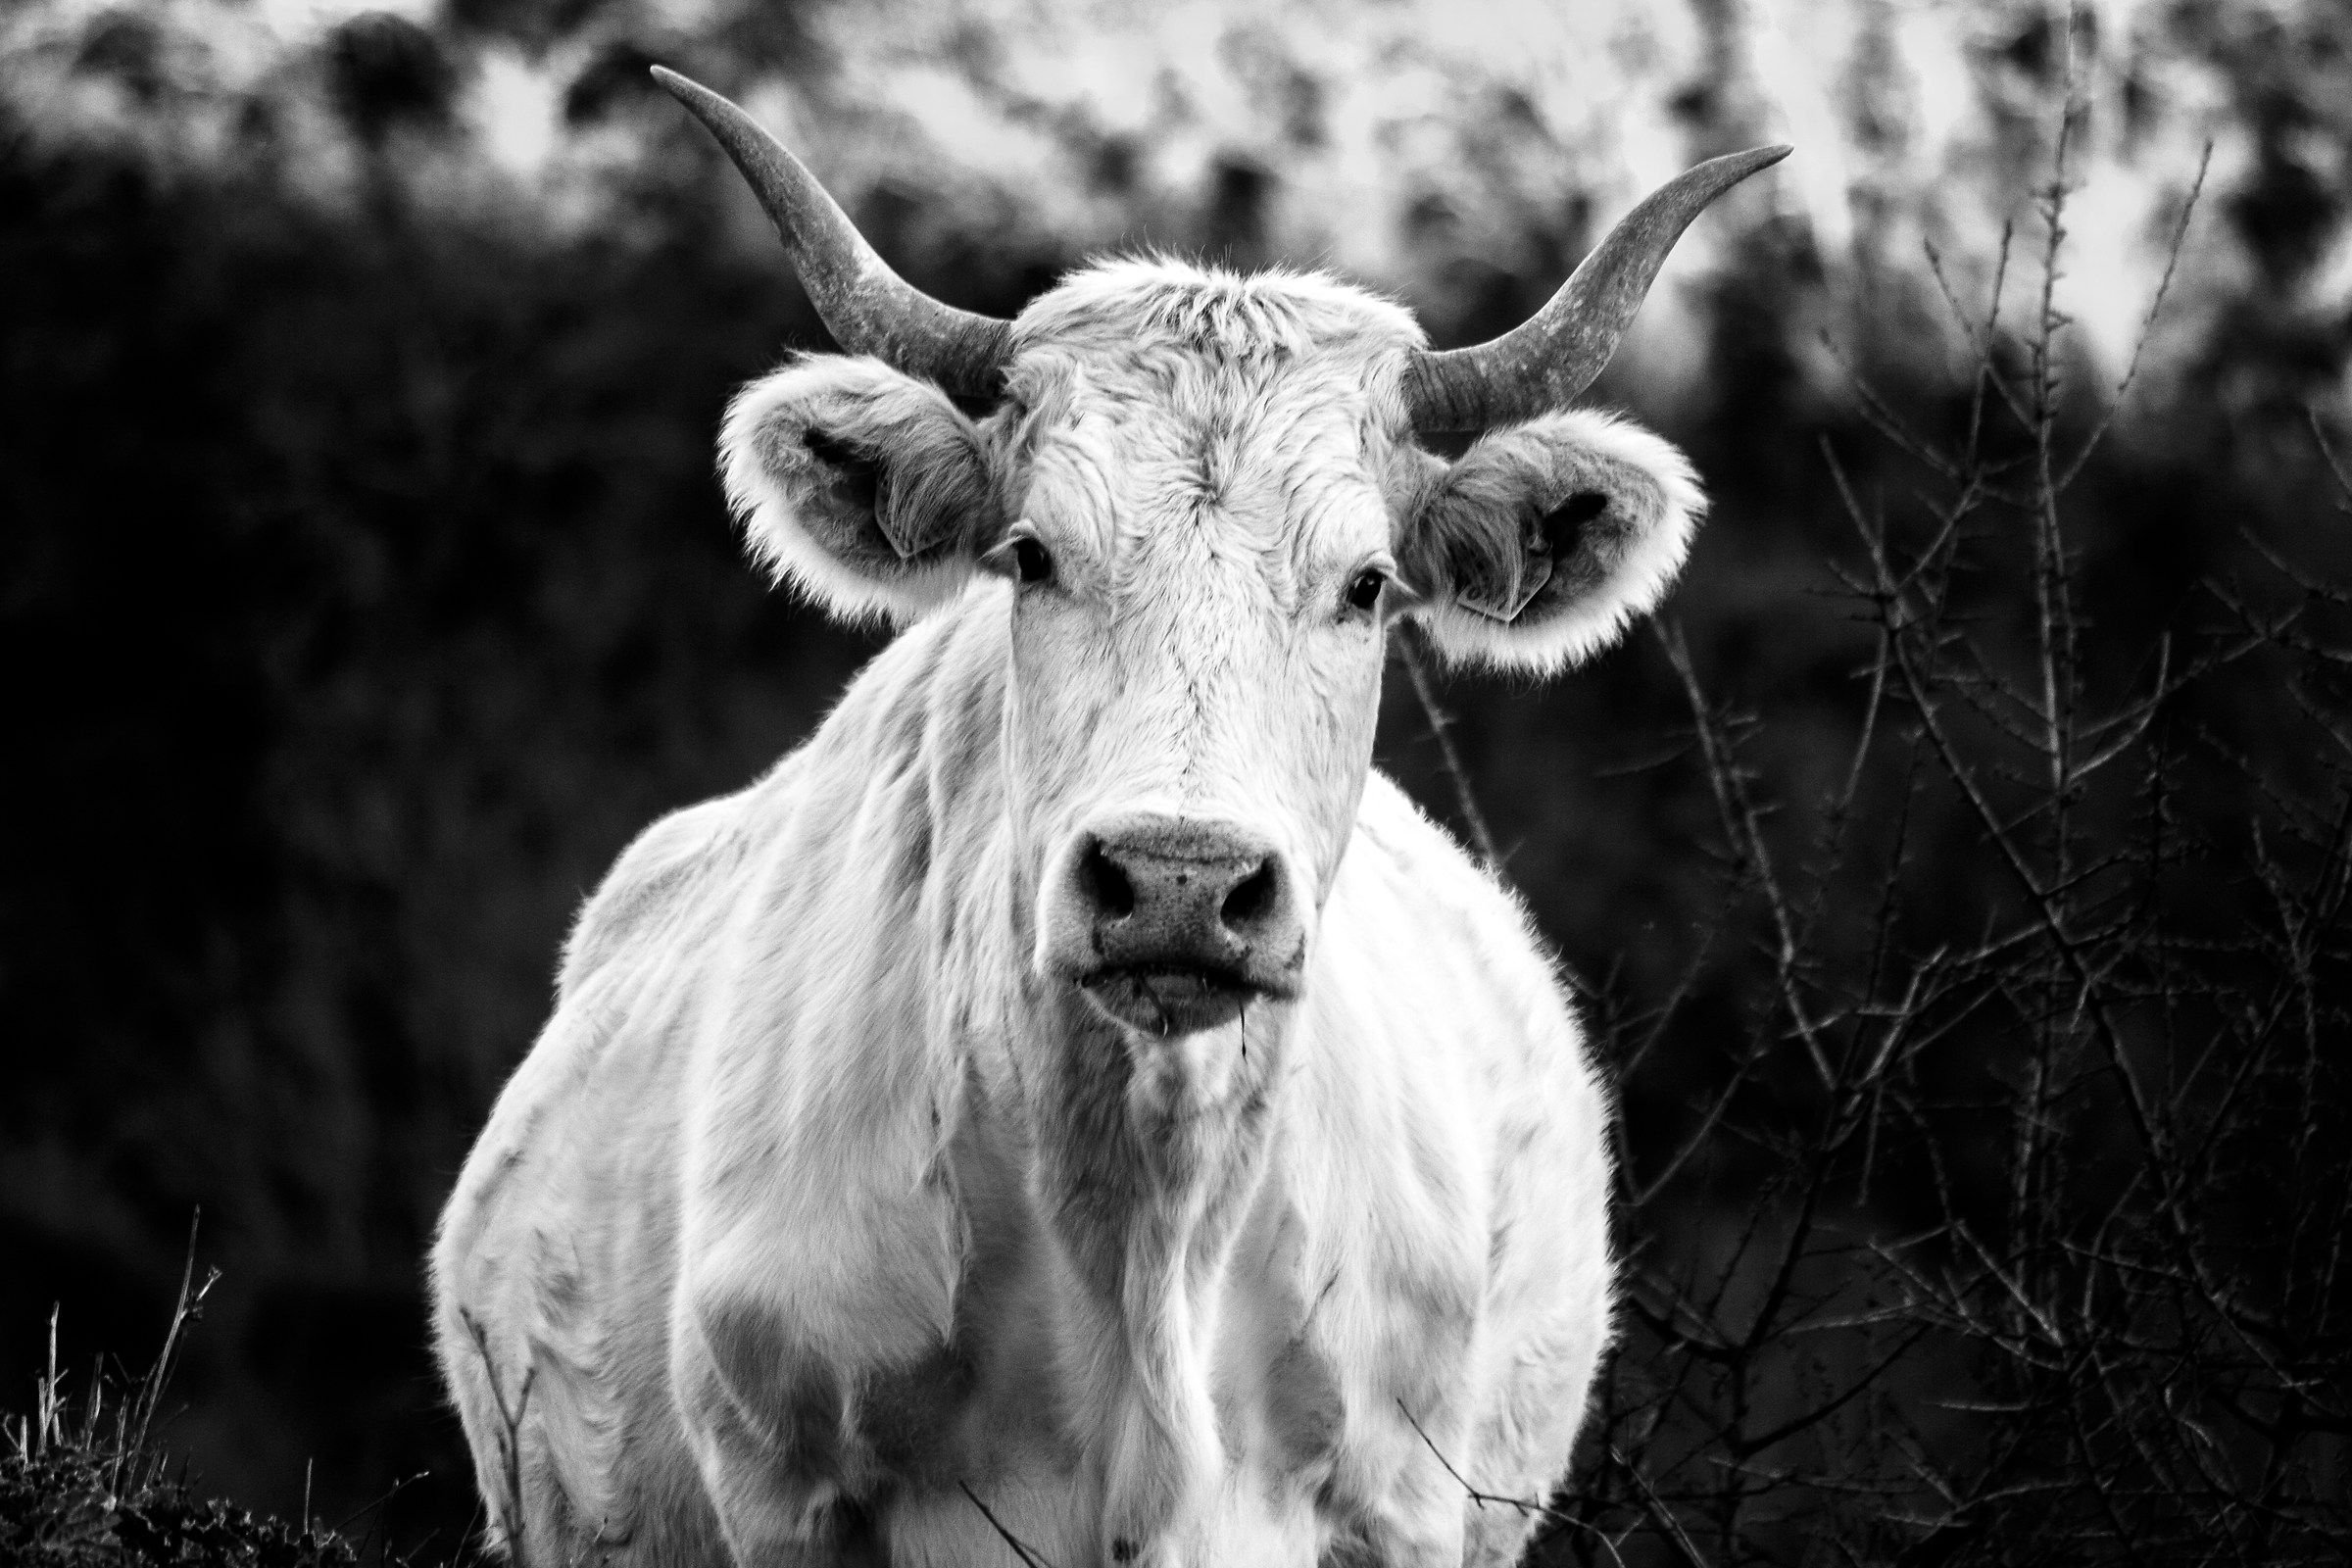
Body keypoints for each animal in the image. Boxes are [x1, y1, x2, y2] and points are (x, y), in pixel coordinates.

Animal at [431, 65, 1784, 1568]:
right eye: (1030, 555)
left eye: (1368, 584)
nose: (1178, 879)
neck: (1142, 1235)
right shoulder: (783, 1492)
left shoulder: (1404, 1505)